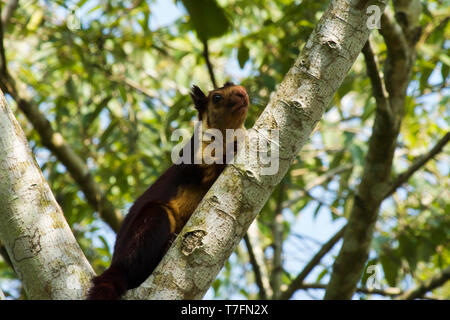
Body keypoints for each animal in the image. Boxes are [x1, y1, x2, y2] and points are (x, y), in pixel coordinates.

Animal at [88, 81, 250, 298]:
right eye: (217, 97)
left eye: (236, 85)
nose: (242, 93)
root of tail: (116, 265)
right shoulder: (192, 161)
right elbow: (210, 167)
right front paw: (236, 145)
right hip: (151, 222)